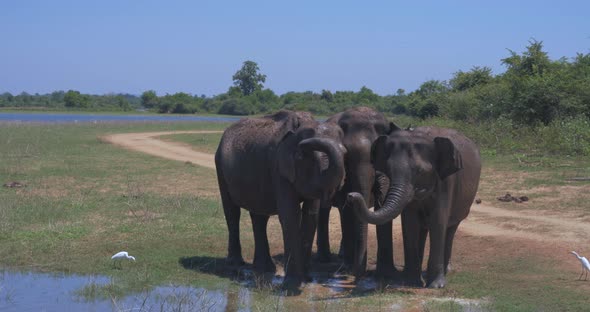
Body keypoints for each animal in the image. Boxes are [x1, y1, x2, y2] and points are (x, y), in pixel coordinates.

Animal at [216, 110, 346, 290]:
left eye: (345, 153)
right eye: (303, 156)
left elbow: (310, 216)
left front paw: (306, 279)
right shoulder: (279, 166)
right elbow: (290, 215)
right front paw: (292, 285)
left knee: (259, 216)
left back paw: (264, 268)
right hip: (220, 167)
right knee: (232, 212)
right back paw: (236, 264)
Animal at [314, 108, 398, 278]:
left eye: (378, 155)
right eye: (347, 157)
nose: (352, 196)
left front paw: (387, 273)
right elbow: (345, 210)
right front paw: (347, 268)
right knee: (324, 209)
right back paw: (325, 259)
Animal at [346, 126, 480, 288]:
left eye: (420, 171)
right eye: (388, 170)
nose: (350, 195)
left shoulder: (446, 182)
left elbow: (438, 221)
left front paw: (436, 286)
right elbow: (410, 222)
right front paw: (410, 282)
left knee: (451, 228)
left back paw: (446, 270)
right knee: (423, 228)